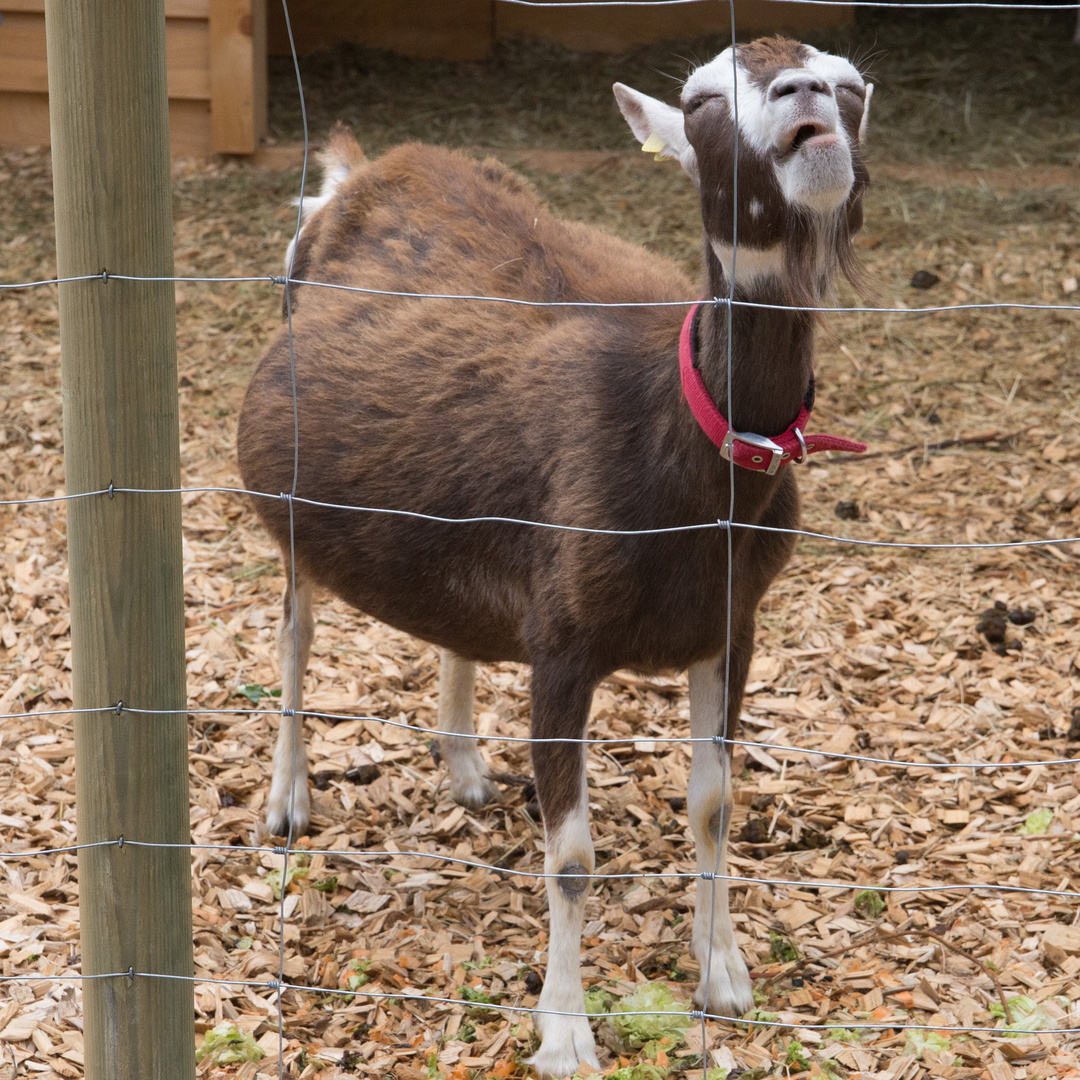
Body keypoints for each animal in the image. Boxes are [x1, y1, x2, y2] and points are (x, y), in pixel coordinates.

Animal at [236, 38, 868, 1075]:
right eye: (702, 99)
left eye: (851, 84)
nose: (805, 94)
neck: (683, 447)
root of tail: (359, 173)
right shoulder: (565, 643)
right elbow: (570, 857)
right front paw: (566, 1031)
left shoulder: (731, 625)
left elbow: (714, 805)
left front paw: (723, 977)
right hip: (295, 505)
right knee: (294, 632)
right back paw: (288, 799)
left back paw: (463, 765)